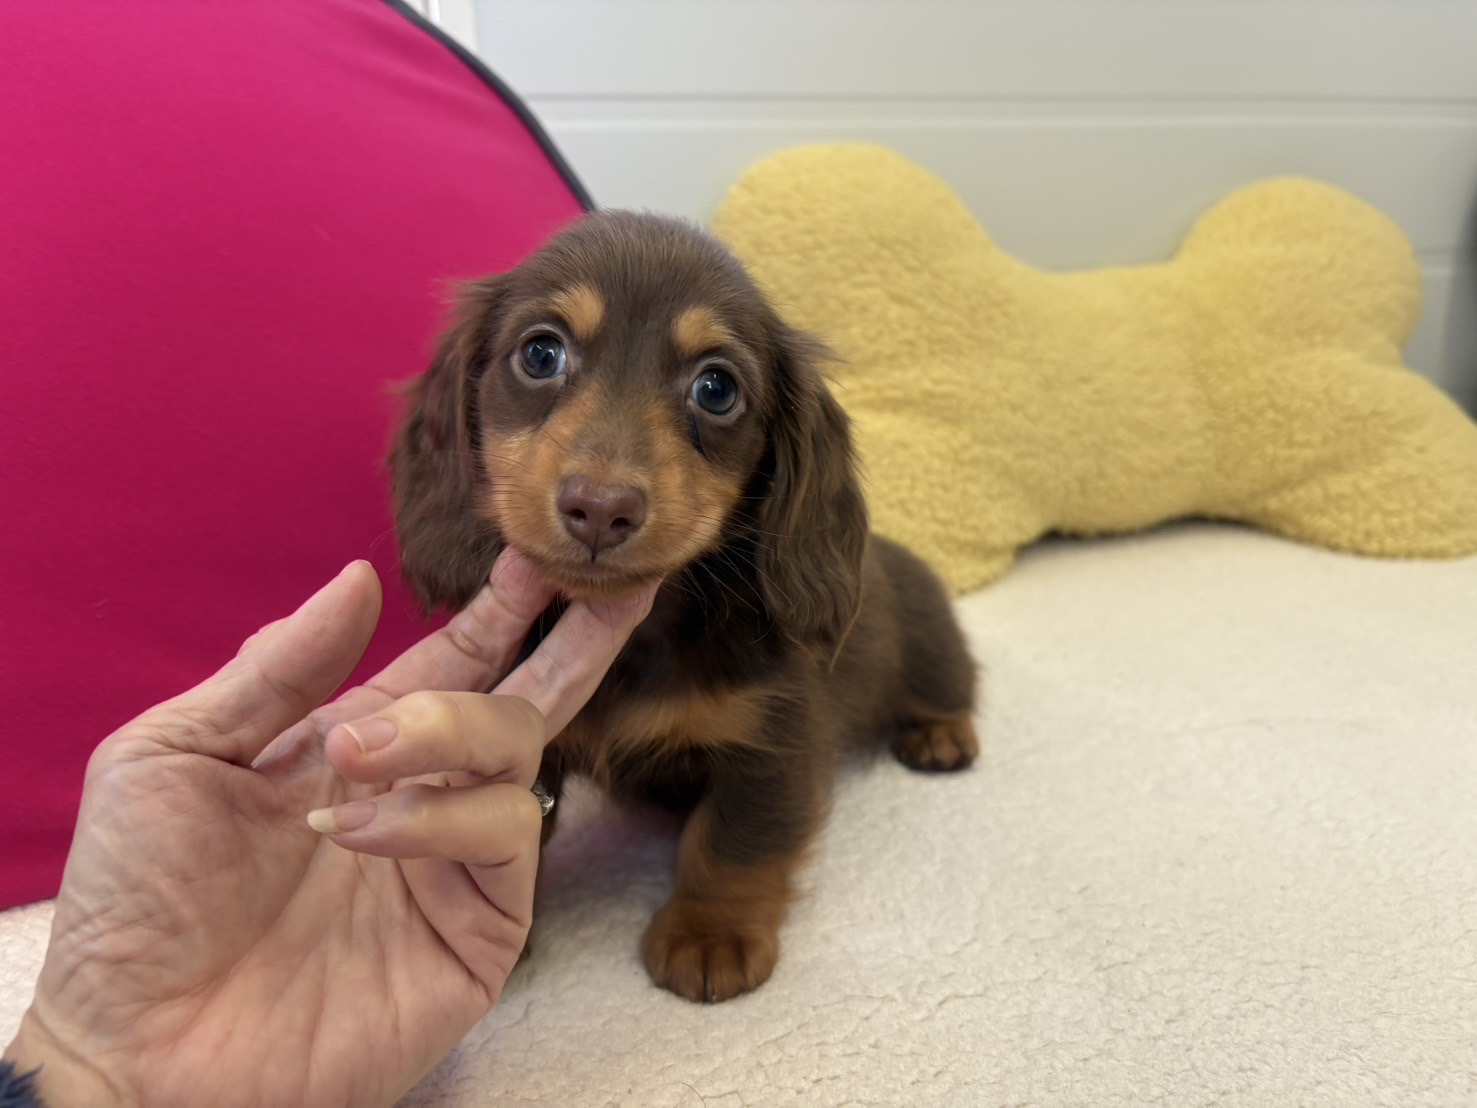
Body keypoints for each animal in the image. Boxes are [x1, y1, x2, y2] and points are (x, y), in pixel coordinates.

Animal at [390, 210, 978, 1003]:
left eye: (716, 388)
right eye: (540, 353)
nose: (599, 509)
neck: (643, 640)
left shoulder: (771, 744)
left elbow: (730, 843)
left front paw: (709, 935)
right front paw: (488, 929)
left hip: (931, 651)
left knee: (948, 689)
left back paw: (941, 734)